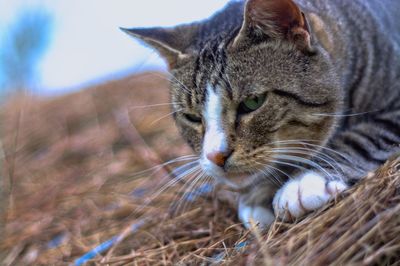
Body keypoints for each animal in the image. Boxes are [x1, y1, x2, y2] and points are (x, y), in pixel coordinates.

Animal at [122, 0, 400, 228]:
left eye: (253, 102)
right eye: (192, 117)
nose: (214, 156)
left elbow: (362, 137)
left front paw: (304, 181)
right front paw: (259, 193)